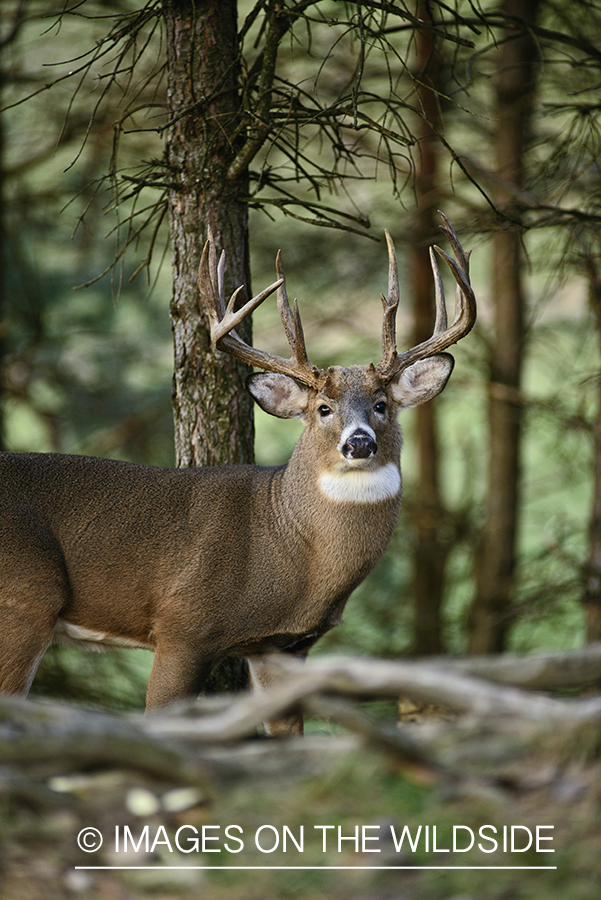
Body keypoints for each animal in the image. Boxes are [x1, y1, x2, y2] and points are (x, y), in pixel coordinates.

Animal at [2, 213, 476, 732]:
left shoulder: (283, 648)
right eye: (323, 408)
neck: (290, 551)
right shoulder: (182, 626)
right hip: (24, 600)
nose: (359, 442)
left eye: (381, 404)